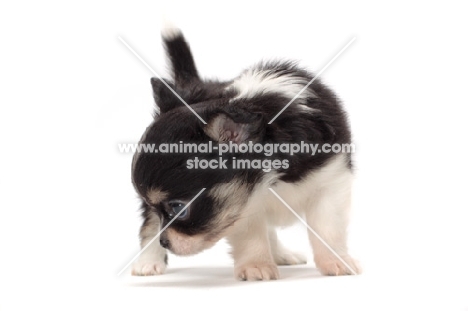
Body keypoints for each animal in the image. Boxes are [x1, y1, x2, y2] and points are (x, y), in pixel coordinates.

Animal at [130, 26, 360, 280]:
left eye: (178, 208)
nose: (165, 242)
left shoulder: (331, 179)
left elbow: (328, 228)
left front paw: (337, 261)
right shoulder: (241, 207)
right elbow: (251, 236)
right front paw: (256, 266)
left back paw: (281, 254)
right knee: (149, 224)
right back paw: (148, 262)